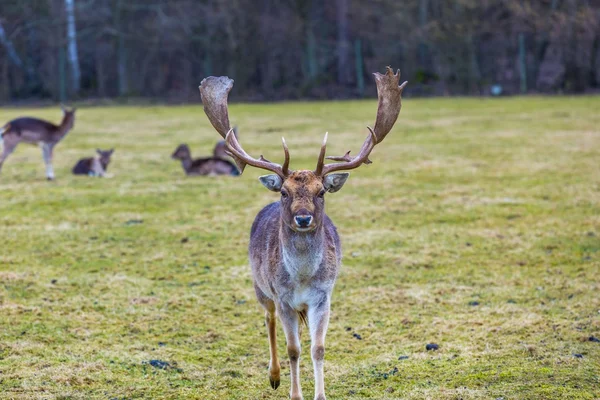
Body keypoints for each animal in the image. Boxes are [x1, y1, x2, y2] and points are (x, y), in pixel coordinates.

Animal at [199, 66, 406, 400]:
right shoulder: (283, 297)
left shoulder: (323, 296)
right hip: (260, 286)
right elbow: (293, 349)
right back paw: (273, 376)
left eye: (321, 191)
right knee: (268, 319)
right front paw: (295, 394)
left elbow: (317, 348)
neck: (303, 278)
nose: (304, 217)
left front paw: (320, 394)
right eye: (284, 191)